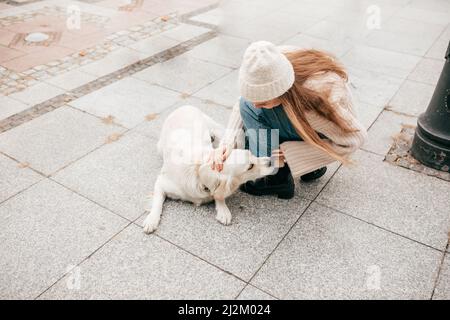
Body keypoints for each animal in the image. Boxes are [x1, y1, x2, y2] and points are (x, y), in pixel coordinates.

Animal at [142, 106, 272, 234]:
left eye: (251, 154)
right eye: (250, 166)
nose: (270, 161)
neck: (198, 172)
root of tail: (183, 106)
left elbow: (219, 195)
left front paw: (223, 209)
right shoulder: (161, 182)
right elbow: (157, 203)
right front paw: (151, 220)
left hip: (218, 131)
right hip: (160, 147)